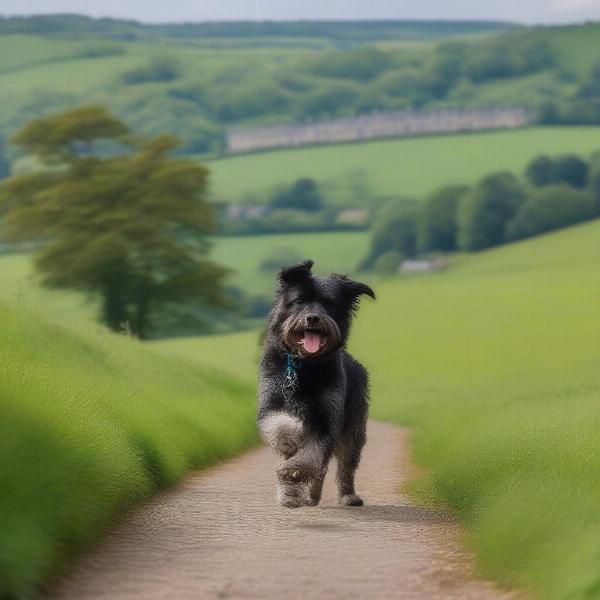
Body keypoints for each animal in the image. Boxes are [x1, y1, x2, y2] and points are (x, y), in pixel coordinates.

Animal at [256, 260, 376, 508]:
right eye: (300, 301)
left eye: (329, 303)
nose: (312, 318)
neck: (303, 367)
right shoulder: (271, 405)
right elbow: (281, 427)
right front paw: (293, 436)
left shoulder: (326, 418)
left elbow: (311, 456)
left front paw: (293, 469)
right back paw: (296, 495)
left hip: (353, 431)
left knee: (343, 466)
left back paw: (346, 495)